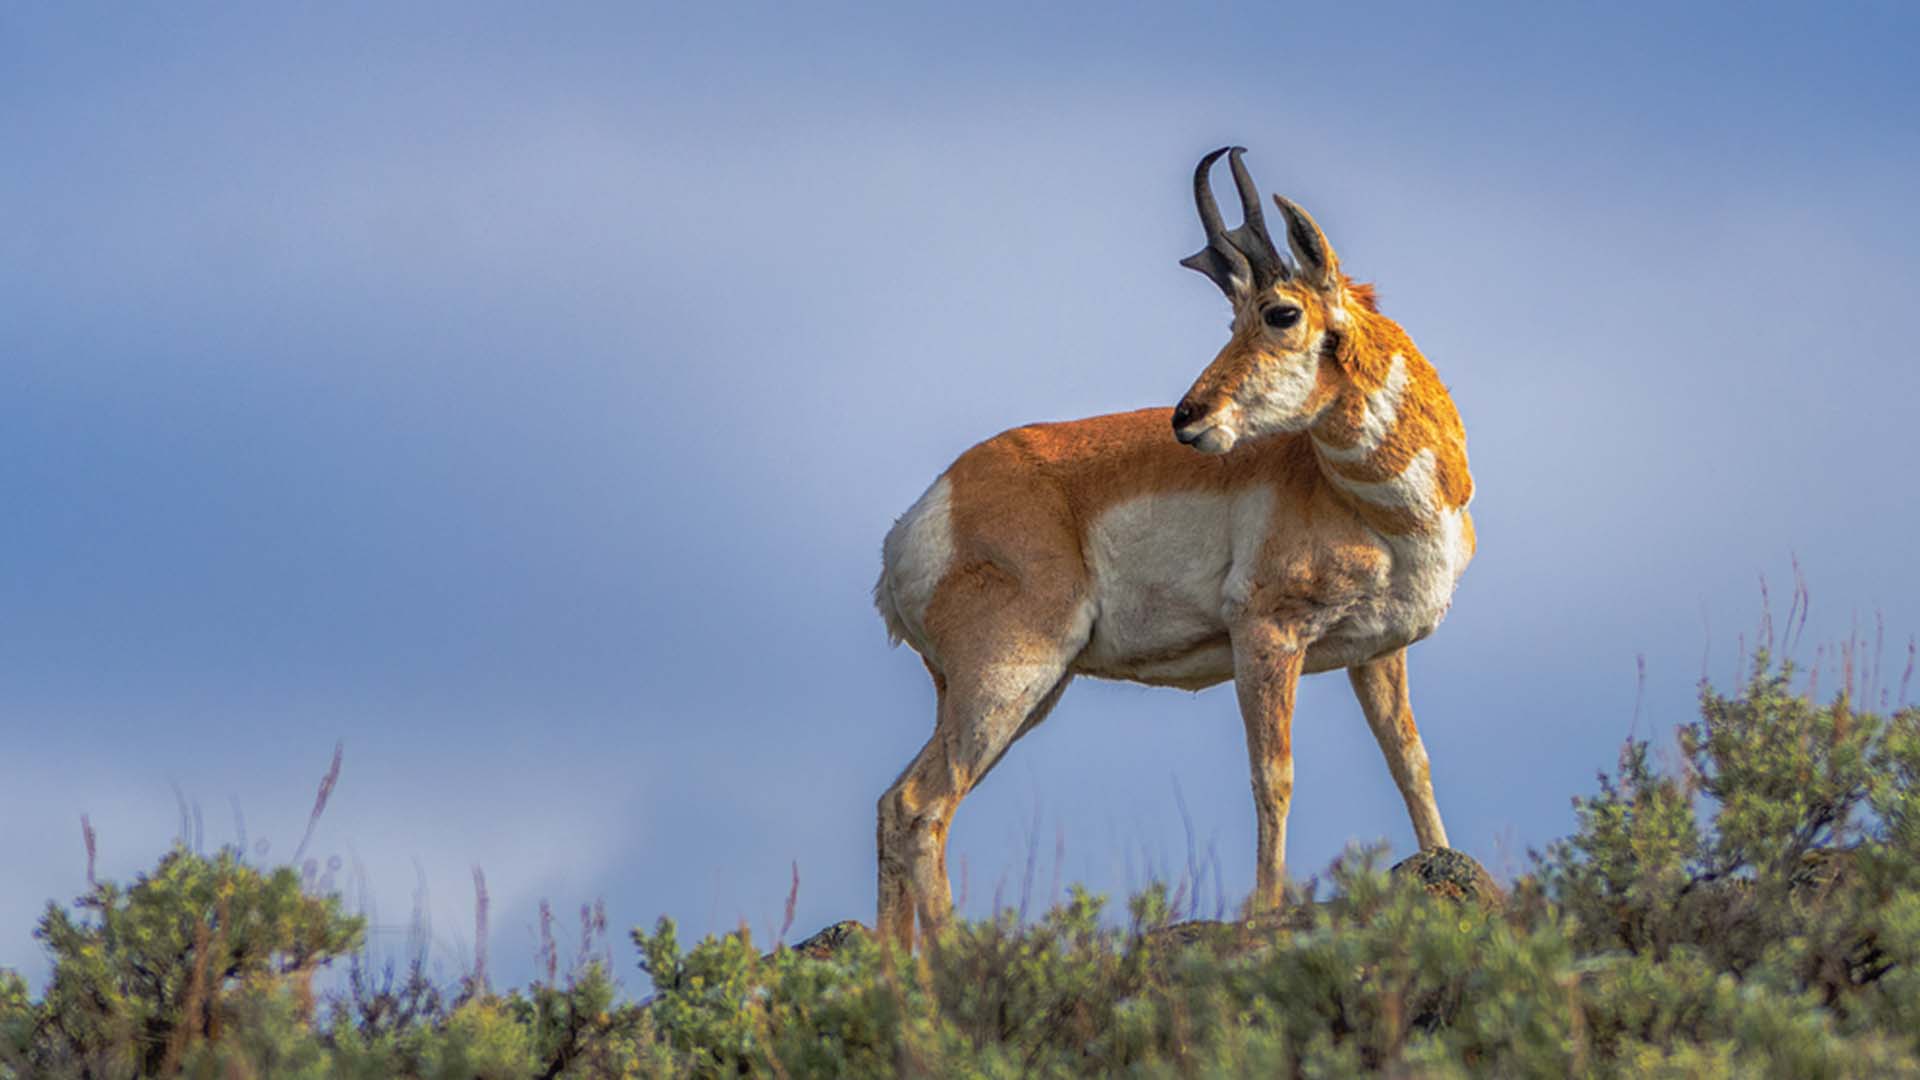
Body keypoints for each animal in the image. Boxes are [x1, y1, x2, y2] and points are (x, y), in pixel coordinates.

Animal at [879, 147, 1474, 945]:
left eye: (1280, 312)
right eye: (1234, 317)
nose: (1187, 419)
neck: (1382, 507)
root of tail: (923, 514)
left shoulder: (1379, 654)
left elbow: (1410, 760)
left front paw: (1440, 856)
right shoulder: (1267, 637)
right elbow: (1273, 774)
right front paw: (1266, 907)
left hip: (1006, 696)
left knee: (893, 806)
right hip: (1007, 681)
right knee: (922, 805)